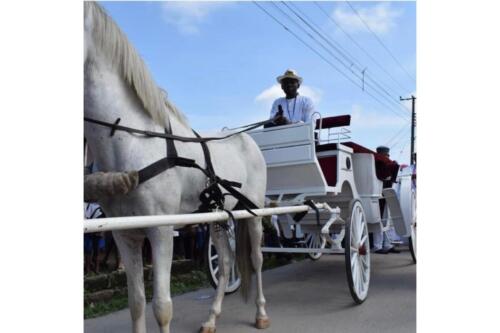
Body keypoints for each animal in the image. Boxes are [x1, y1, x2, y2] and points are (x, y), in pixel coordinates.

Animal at [85, 3, 270, 332]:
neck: (134, 140)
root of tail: (246, 137)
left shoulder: (160, 231)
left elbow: (162, 306)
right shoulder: (124, 234)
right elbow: (136, 303)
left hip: (254, 211)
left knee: (256, 258)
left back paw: (261, 313)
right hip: (217, 217)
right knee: (225, 264)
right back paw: (211, 318)